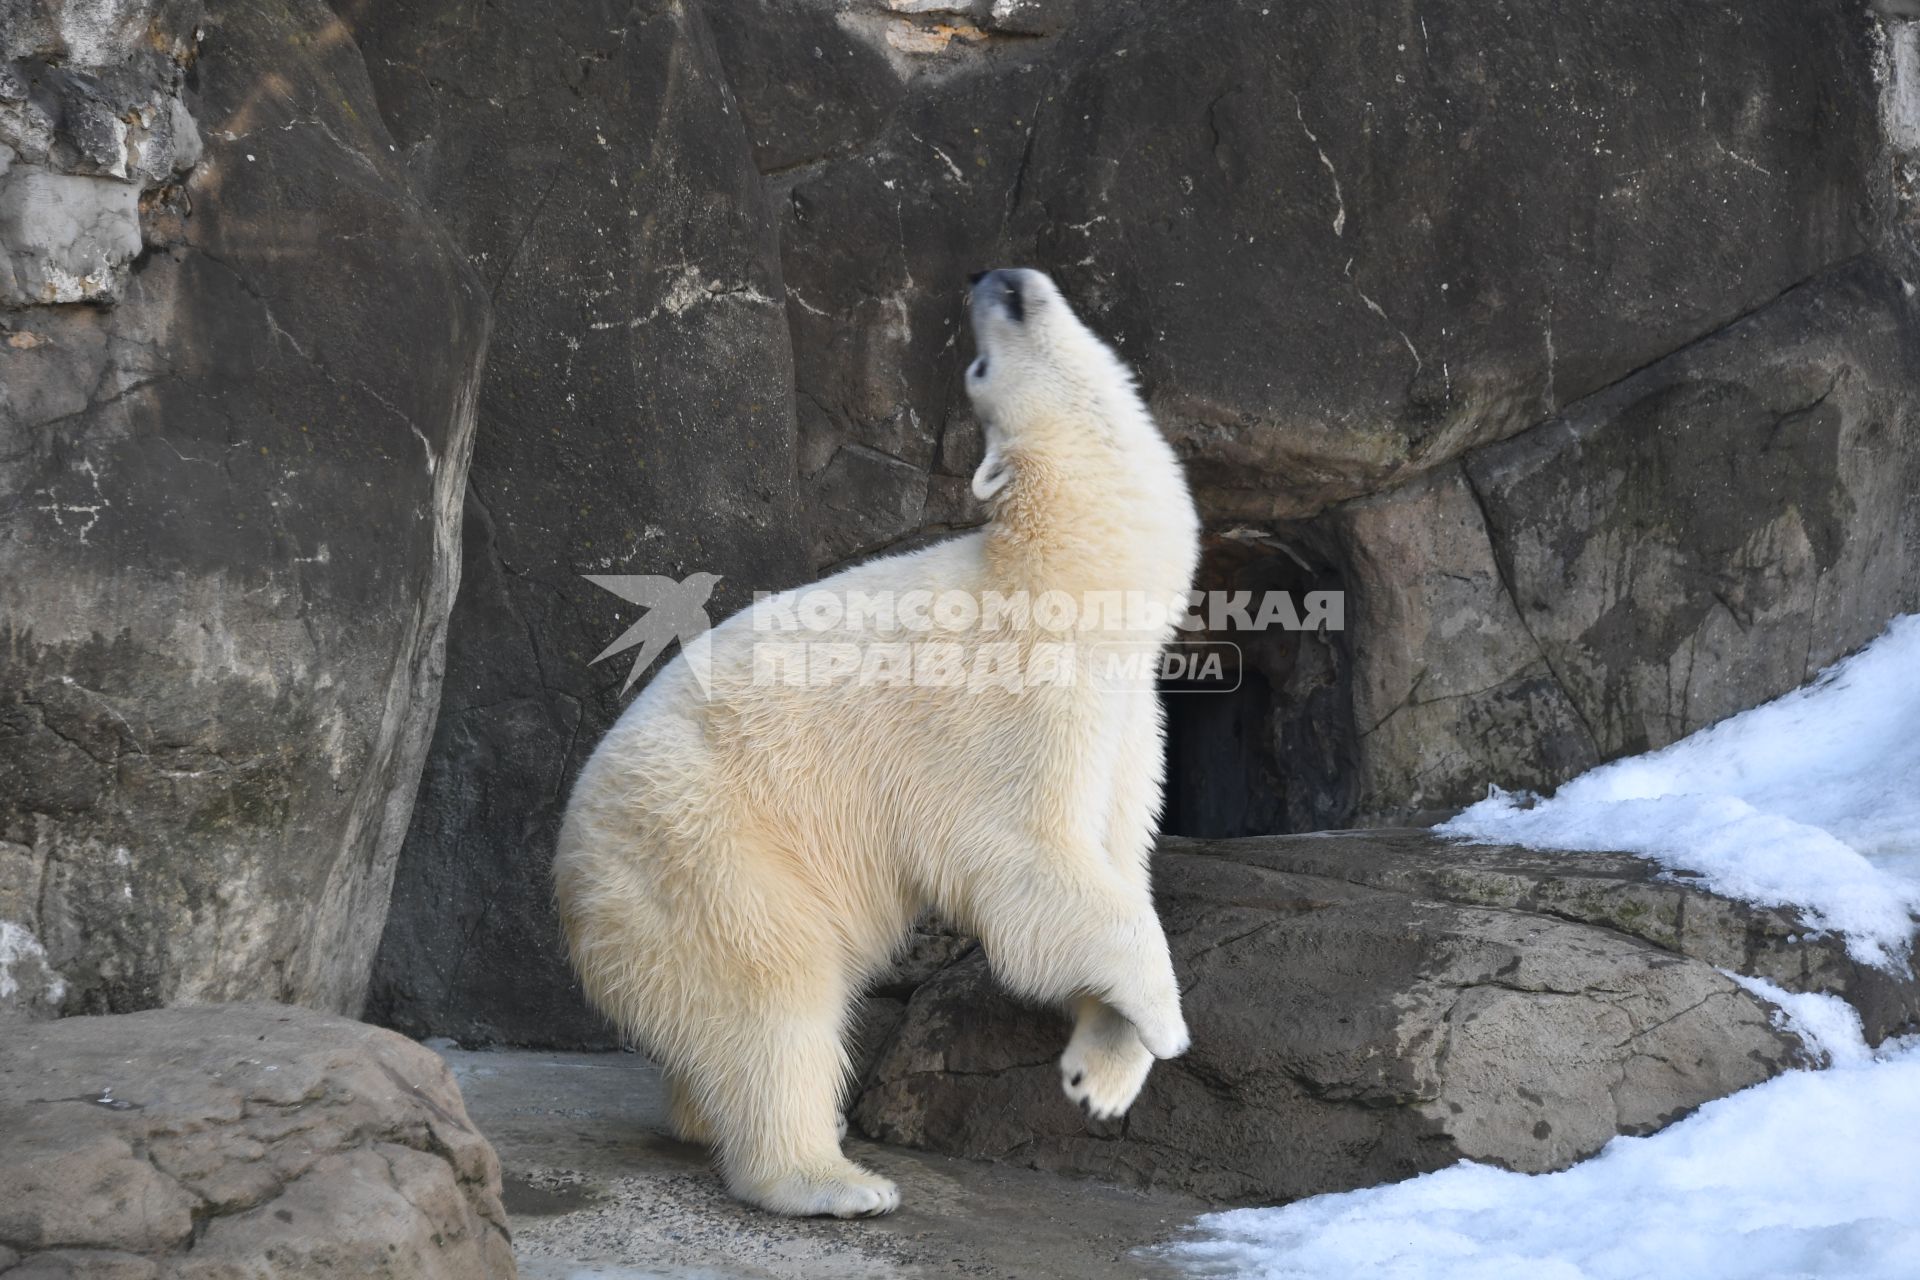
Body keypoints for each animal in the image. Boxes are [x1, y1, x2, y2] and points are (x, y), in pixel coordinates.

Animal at [552, 264, 1198, 1220]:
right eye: (977, 368)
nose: (994, 278)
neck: (1073, 589)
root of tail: (571, 884)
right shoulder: (1018, 705)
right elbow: (1033, 875)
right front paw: (1166, 1018)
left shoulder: (1126, 724)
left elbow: (1114, 864)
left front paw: (1099, 1078)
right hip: (703, 849)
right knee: (771, 991)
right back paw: (831, 1178)